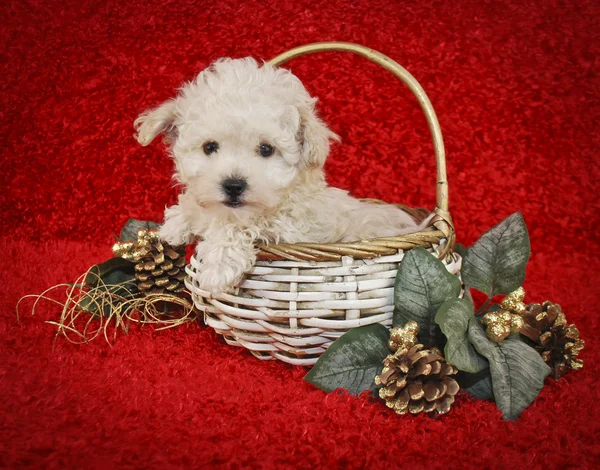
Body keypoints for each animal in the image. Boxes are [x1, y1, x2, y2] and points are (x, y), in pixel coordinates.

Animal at [135, 57, 426, 296]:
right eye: (209, 147)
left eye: (266, 149)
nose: (233, 185)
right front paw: (178, 221)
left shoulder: (291, 227)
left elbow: (242, 226)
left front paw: (219, 263)